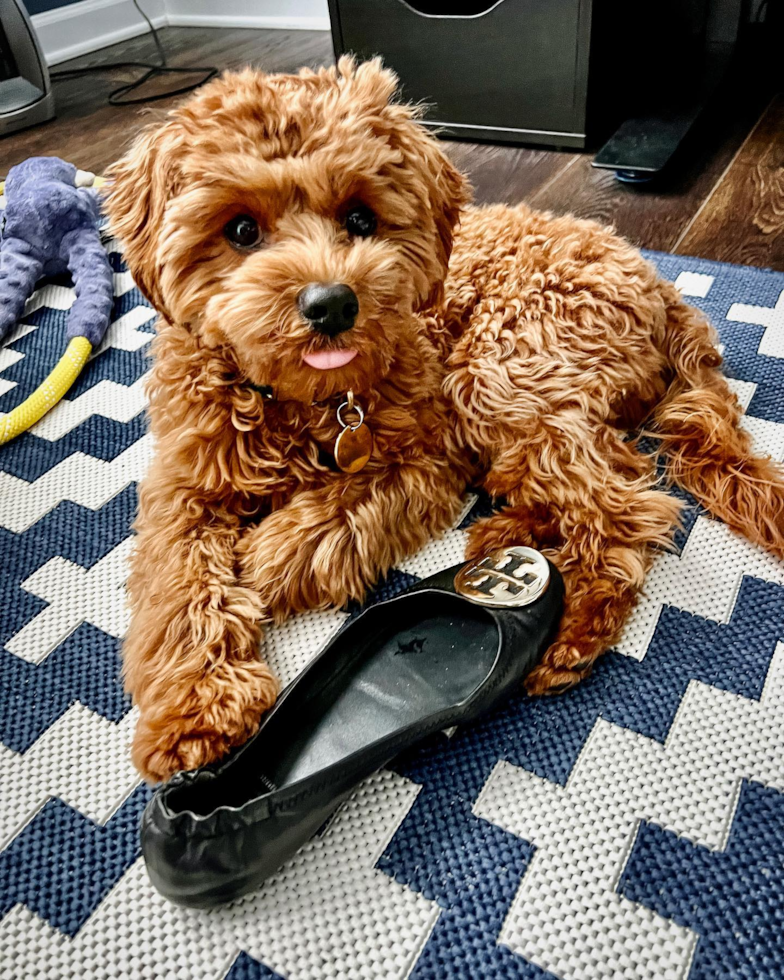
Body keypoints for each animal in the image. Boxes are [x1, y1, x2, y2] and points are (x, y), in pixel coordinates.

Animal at [107, 61, 784, 780]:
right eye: (240, 231)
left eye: (360, 217)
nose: (331, 304)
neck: (303, 397)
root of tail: (661, 286)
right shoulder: (184, 489)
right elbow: (177, 591)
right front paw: (195, 707)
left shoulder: (427, 457)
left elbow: (334, 513)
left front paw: (269, 556)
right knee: (587, 476)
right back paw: (509, 533)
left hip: (499, 371)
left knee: (627, 505)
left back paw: (573, 623)